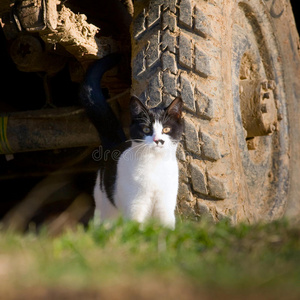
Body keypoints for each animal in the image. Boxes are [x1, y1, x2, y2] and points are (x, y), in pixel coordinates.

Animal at [80, 54, 183, 227]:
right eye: (147, 130)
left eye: (166, 130)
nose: (158, 140)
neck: (155, 165)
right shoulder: (135, 207)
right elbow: (136, 229)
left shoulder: (165, 206)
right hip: (104, 207)